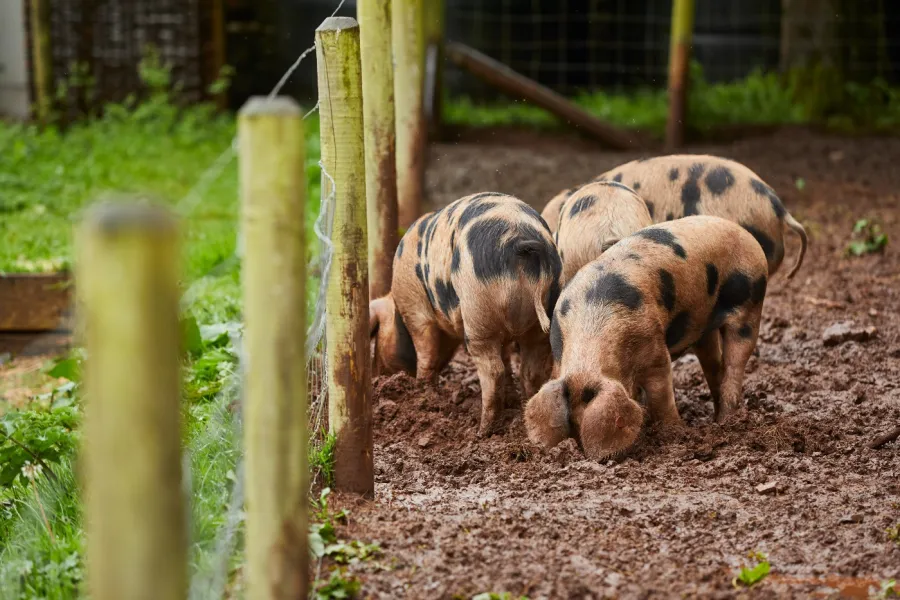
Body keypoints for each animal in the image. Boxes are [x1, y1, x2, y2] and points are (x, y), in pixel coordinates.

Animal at [369, 192, 562, 435]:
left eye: (376, 336)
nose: (377, 374)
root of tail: (520, 241)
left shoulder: (416, 310)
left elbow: (426, 354)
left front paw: (423, 392)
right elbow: (506, 356)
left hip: (477, 311)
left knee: (493, 370)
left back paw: (482, 430)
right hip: (541, 317)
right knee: (530, 370)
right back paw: (525, 412)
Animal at [524, 216, 769, 460]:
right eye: (573, 426)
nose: (582, 454)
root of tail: (743, 233)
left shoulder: (656, 349)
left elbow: (661, 395)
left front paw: (677, 432)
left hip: (750, 304)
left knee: (735, 363)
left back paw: (725, 421)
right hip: (702, 325)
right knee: (714, 364)